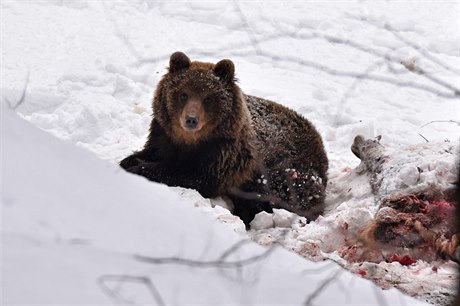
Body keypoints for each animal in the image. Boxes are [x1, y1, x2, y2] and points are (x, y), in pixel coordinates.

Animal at [118, 51, 328, 226]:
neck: (191, 141)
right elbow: (151, 152)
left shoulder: (223, 155)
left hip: (284, 168)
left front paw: (140, 168)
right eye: (183, 94)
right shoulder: (163, 136)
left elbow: (192, 176)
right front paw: (129, 161)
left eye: (208, 98)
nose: (191, 119)